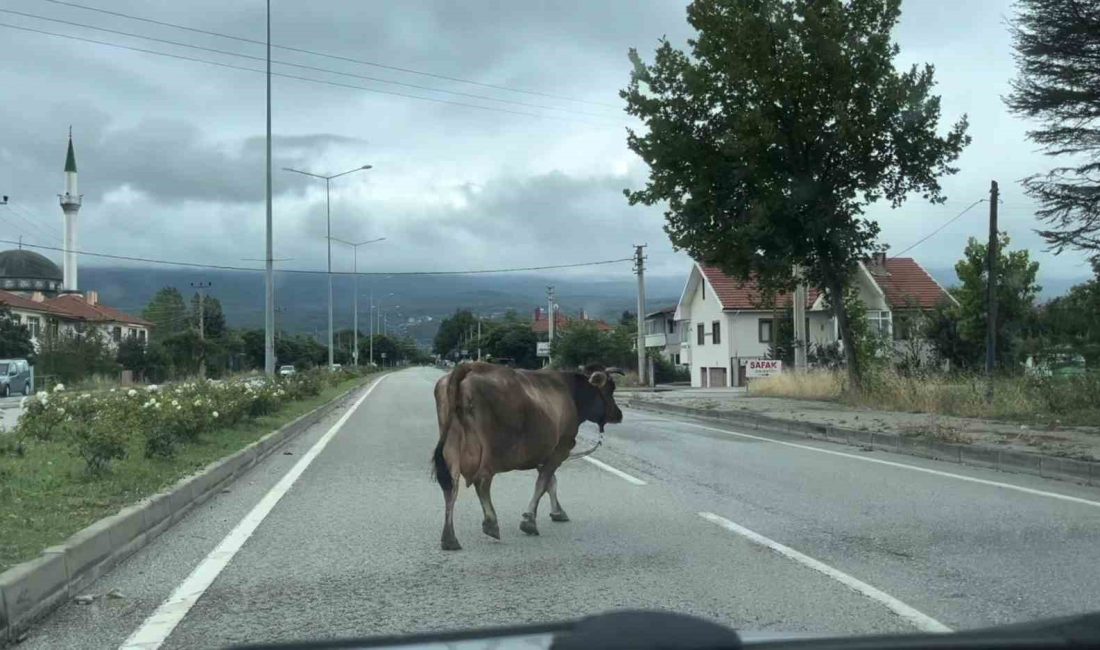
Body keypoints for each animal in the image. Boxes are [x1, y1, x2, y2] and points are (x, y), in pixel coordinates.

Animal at [426, 360, 620, 549]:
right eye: (610, 389)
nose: (619, 414)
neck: (571, 393)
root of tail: (470, 366)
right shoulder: (561, 447)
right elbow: (543, 483)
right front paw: (529, 520)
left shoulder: (544, 453)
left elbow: (551, 482)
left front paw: (558, 512)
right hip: (490, 450)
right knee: (481, 481)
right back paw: (491, 524)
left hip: (452, 444)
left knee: (451, 485)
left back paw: (449, 538)